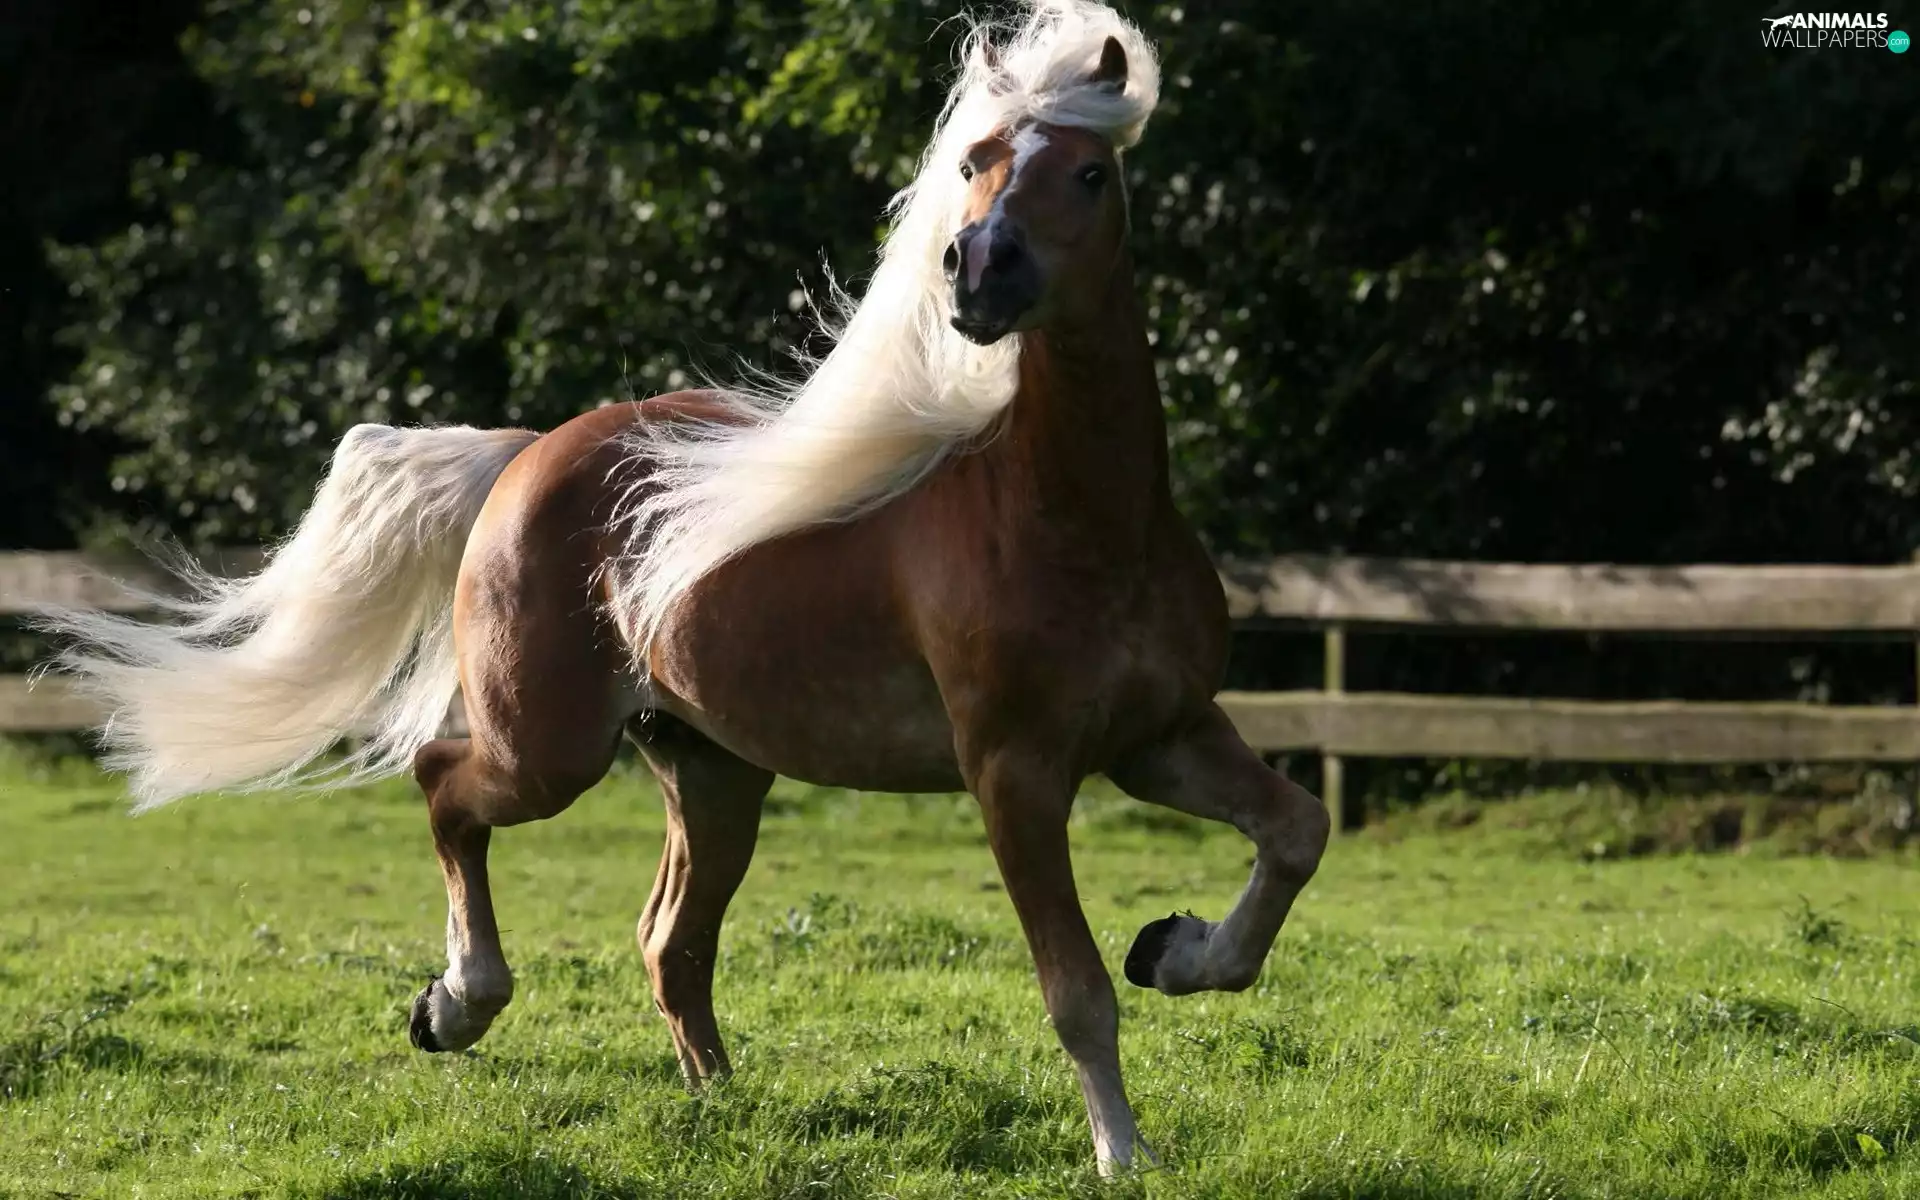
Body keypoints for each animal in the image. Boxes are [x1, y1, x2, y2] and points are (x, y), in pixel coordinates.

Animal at [39, 0, 1329, 1176]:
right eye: (976, 163)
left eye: (1093, 173)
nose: (978, 270)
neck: (1075, 521)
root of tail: (528, 453)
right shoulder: (1015, 774)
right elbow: (1074, 990)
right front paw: (1124, 1153)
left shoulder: (1160, 735)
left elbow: (1296, 833)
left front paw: (1176, 949)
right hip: (550, 752)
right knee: (447, 785)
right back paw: (457, 1004)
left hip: (713, 771)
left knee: (671, 943)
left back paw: (724, 1109)